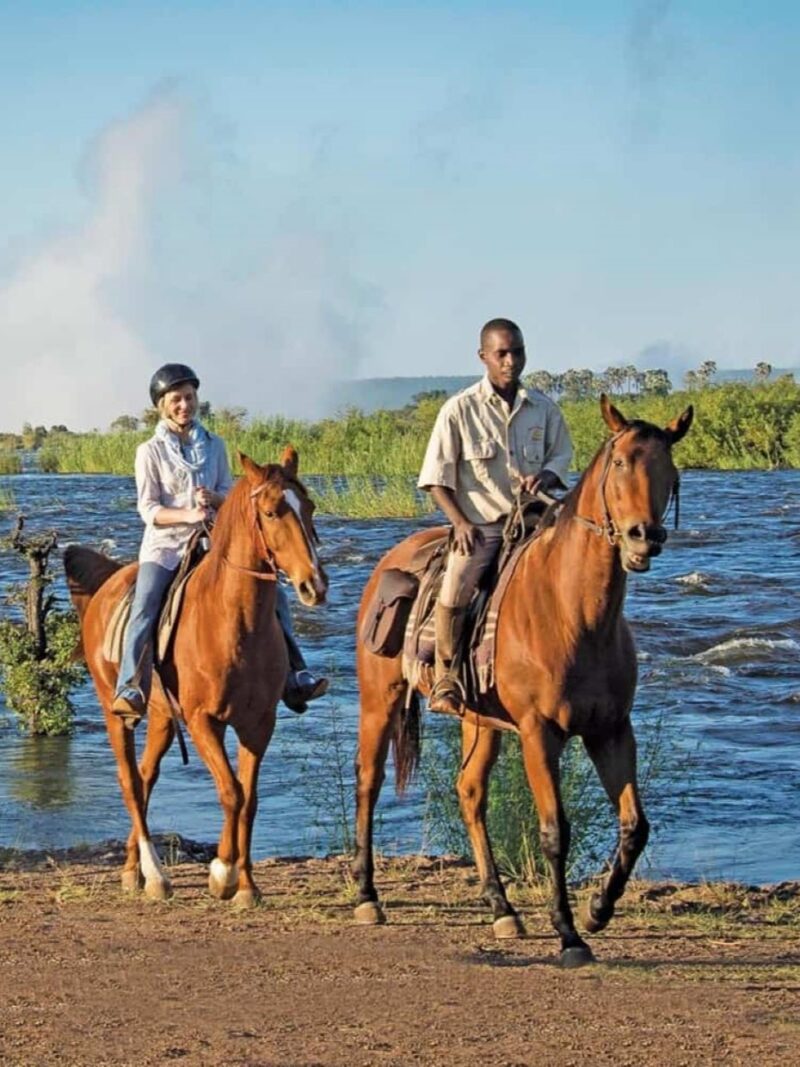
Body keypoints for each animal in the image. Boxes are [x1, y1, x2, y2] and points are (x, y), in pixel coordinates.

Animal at [62, 446, 326, 904]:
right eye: (272, 512)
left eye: (308, 507)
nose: (316, 584)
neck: (234, 623)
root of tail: (106, 586)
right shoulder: (204, 721)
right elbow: (231, 791)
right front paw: (223, 874)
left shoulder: (259, 723)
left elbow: (249, 798)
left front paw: (246, 886)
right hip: (117, 713)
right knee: (130, 780)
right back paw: (155, 875)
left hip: (162, 717)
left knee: (146, 776)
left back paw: (132, 869)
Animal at [354, 399, 691, 968]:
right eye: (621, 462)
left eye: (670, 471)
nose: (645, 537)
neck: (573, 612)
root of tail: (390, 562)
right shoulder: (539, 733)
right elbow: (554, 831)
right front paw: (570, 935)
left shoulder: (611, 730)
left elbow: (635, 825)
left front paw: (598, 909)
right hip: (380, 701)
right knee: (368, 783)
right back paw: (366, 895)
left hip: (479, 722)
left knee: (470, 793)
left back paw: (501, 908)